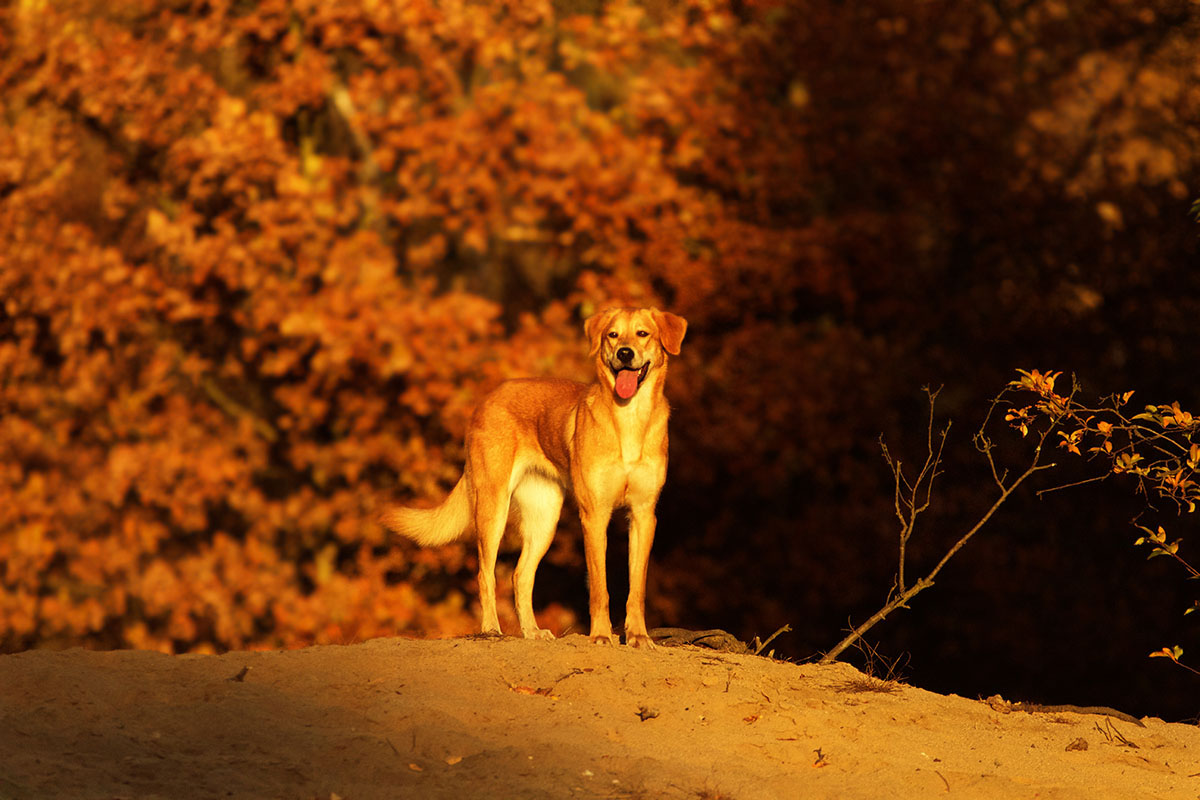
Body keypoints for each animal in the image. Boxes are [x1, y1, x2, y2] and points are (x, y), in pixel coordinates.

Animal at [384, 307, 686, 652]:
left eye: (642, 334)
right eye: (613, 335)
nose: (624, 353)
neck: (629, 419)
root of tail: (489, 396)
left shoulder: (643, 515)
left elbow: (636, 588)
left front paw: (638, 636)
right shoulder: (595, 515)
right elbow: (600, 586)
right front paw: (600, 635)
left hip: (545, 520)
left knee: (520, 575)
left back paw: (531, 631)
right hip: (493, 508)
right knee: (486, 574)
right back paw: (491, 628)